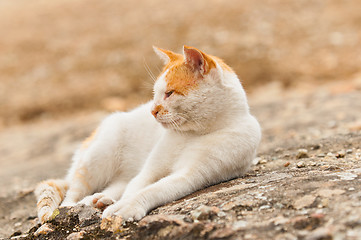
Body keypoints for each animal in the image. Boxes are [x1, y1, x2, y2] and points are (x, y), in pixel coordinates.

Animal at [35, 45, 260, 223]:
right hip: (98, 156)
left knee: (116, 186)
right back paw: (73, 206)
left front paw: (124, 206)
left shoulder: (191, 175)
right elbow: (138, 186)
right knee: (74, 191)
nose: (152, 111)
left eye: (169, 93)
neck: (192, 134)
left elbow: (152, 189)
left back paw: (102, 200)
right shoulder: (150, 169)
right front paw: (120, 204)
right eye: (155, 94)